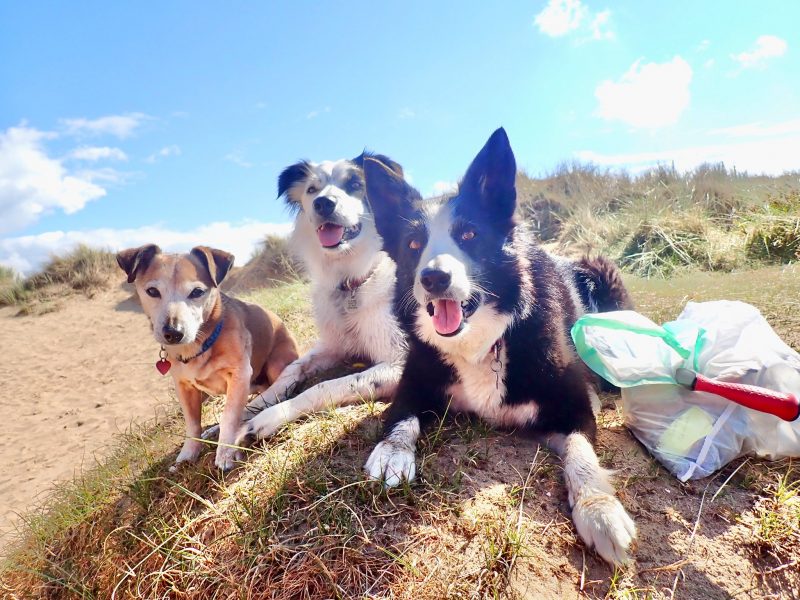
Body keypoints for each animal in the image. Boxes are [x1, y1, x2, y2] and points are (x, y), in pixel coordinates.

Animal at [115, 244, 296, 468]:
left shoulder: (239, 374)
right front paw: (188, 454)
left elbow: (229, 416)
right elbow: (192, 424)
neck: (197, 347)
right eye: (152, 291)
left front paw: (226, 452)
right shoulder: (184, 387)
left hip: (276, 364)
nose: (173, 332)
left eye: (197, 292)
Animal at [227, 152, 412, 442]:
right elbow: (291, 369)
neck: (350, 283)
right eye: (312, 190)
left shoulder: (399, 361)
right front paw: (251, 408)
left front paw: (269, 417)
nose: (323, 203)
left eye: (354, 184)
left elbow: (324, 386)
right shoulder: (333, 346)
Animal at [362, 129, 636, 564]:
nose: (434, 278)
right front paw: (392, 451)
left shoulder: (575, 405)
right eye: (413, 244)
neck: (481, 343)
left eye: (469, 234)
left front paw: (600, 510)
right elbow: (401, 416)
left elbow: (582, 454)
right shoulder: (414, 382)